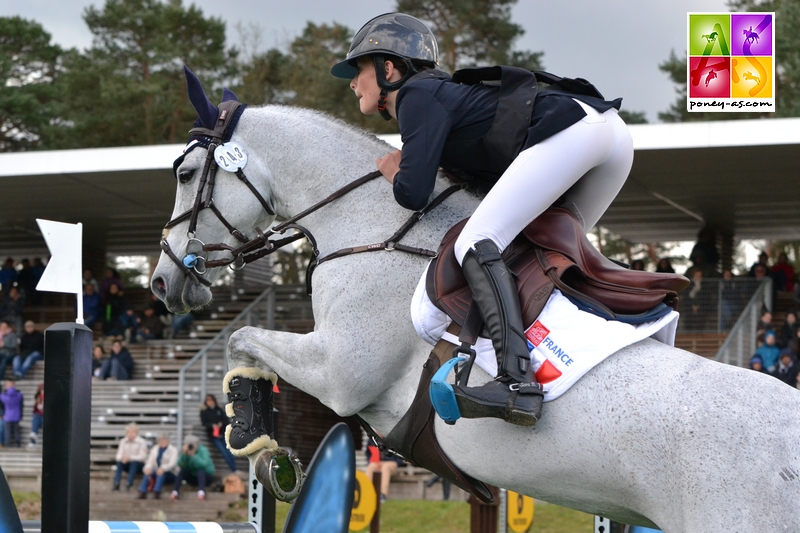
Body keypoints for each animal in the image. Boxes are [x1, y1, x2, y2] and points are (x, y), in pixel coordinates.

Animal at [152, 89, 800, 528]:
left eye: (185, 173)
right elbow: (248, 344)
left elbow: (243, 339)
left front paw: (250, 427)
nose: (161, 282)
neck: (371, 228)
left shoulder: (339, 372)